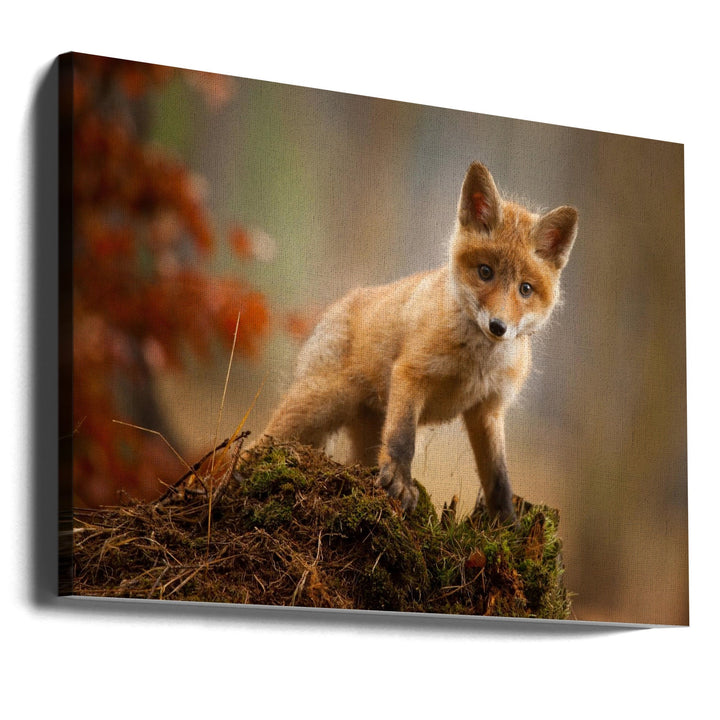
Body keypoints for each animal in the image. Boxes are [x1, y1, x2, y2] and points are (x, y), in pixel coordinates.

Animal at [260, 162, 578, 523]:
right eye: (485, 272)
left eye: (525, 289)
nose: (498, 327)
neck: (476, 364)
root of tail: (339, 304)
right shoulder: (412, 374)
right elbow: (403, 439)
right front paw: (400, 484)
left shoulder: (488, 408)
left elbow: (498, 476)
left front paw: (505, 521)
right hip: (316, 407)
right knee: (257, 445)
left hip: (362, 434)